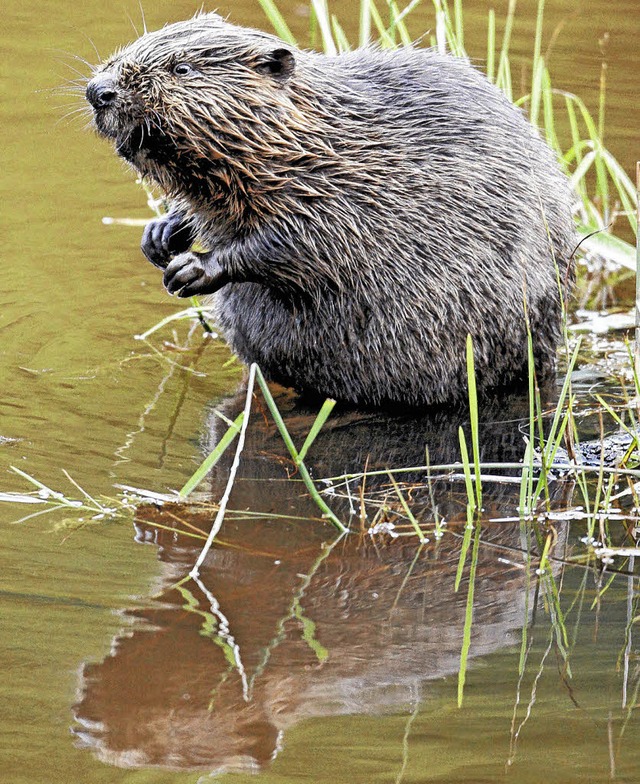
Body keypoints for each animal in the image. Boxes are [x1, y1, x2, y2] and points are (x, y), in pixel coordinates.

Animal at [85, 12, 576, 408]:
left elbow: (301, 243)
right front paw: (159, 235)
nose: (97, 90)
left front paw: (191, 269)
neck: (315, 136)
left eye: (181, 68)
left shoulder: (344, 190)